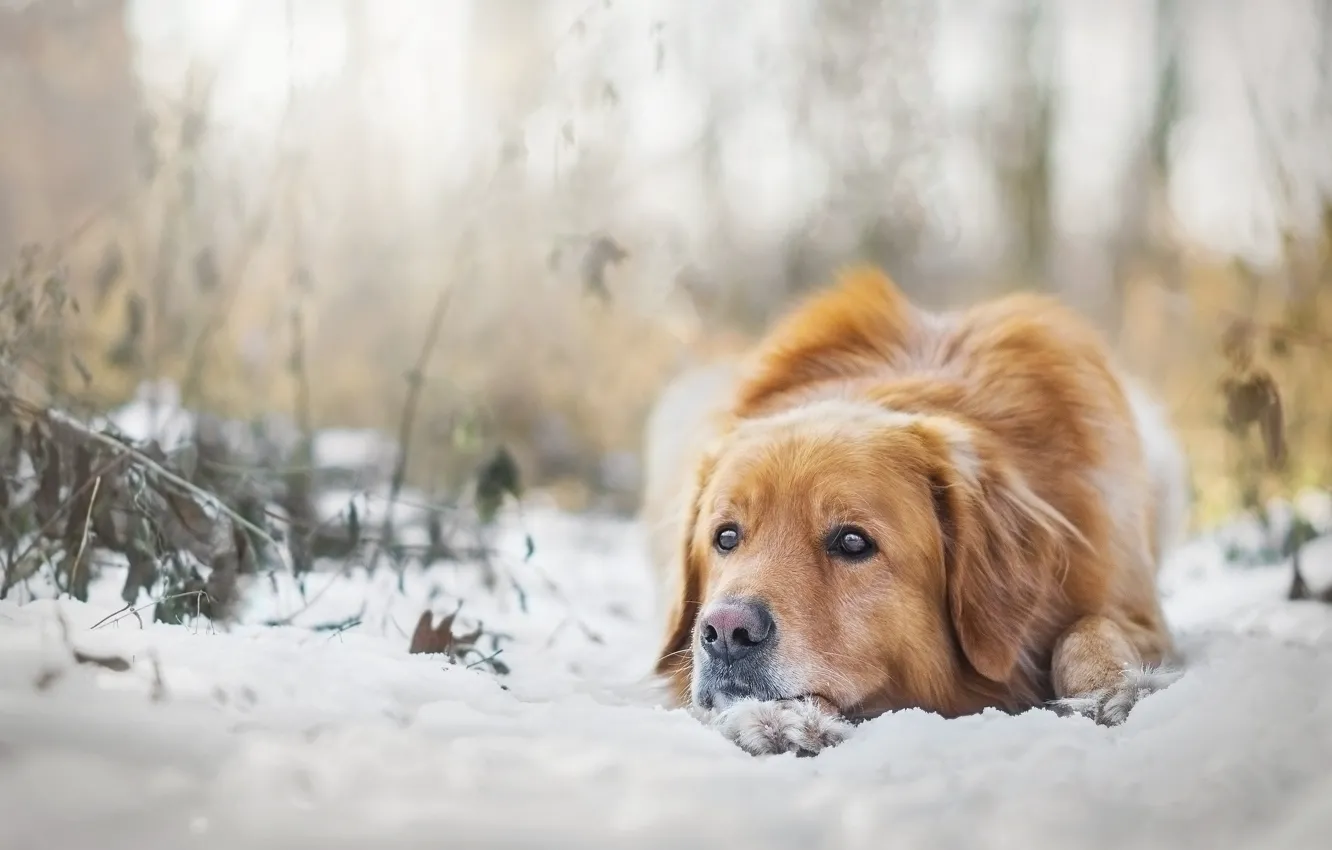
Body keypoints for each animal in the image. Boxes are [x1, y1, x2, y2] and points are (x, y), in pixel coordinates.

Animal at [634, 267, 1188, 756]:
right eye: (726, 537)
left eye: (853, 542)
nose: (726, 631)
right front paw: (783, 716)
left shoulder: (1134, 606)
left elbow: (1089, 628)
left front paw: (1116, 688)